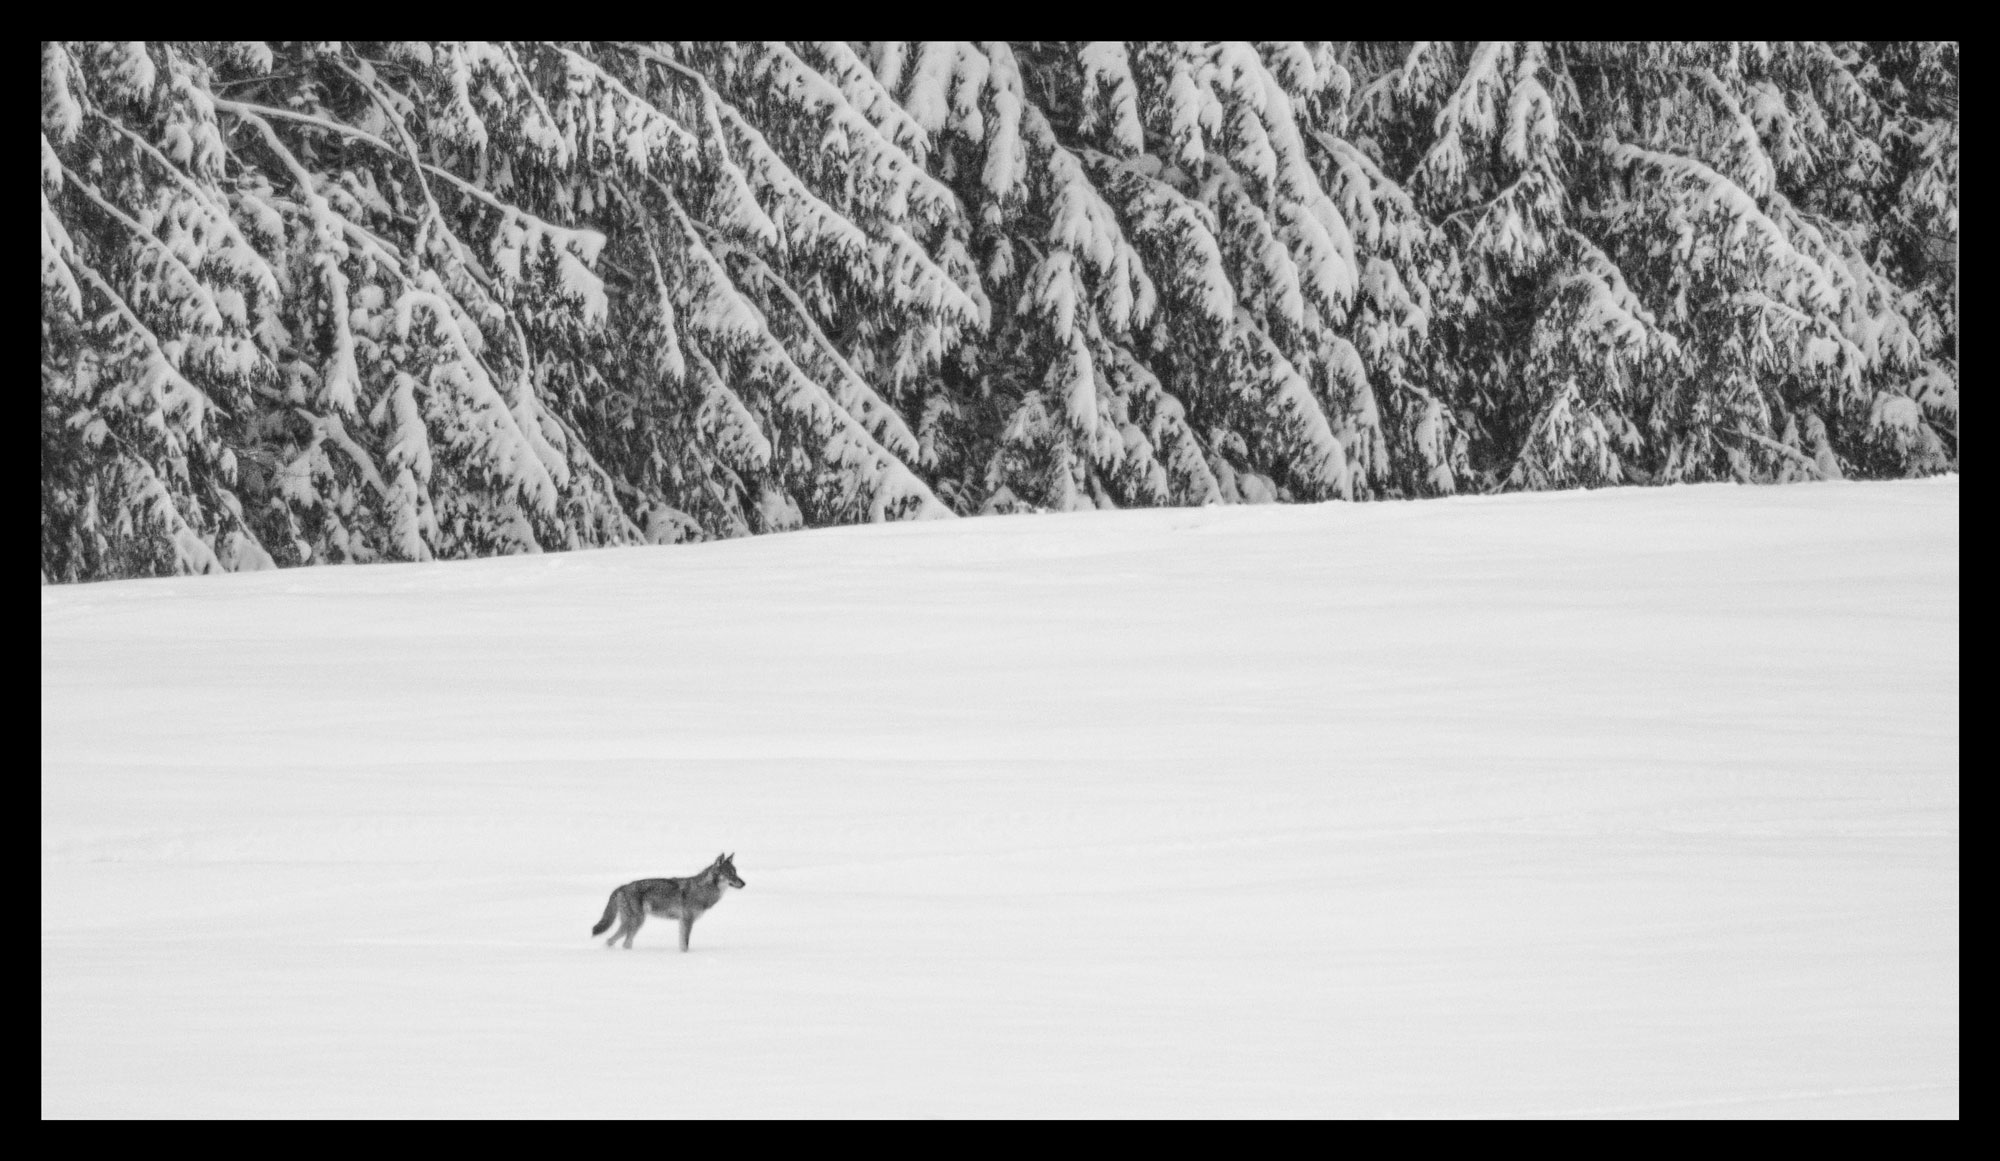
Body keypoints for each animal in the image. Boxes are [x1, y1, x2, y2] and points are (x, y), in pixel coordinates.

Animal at [591, 853, 746, 951]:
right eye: (730, 874)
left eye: (736, 872)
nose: (744, 883)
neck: (703, 890)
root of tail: (622, 887)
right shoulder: (687, 921)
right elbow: (685, 945)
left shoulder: (682, 922)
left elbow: (683, 944)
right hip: (636, 922)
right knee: (623, 943)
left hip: (631, 923)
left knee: (611, 941)